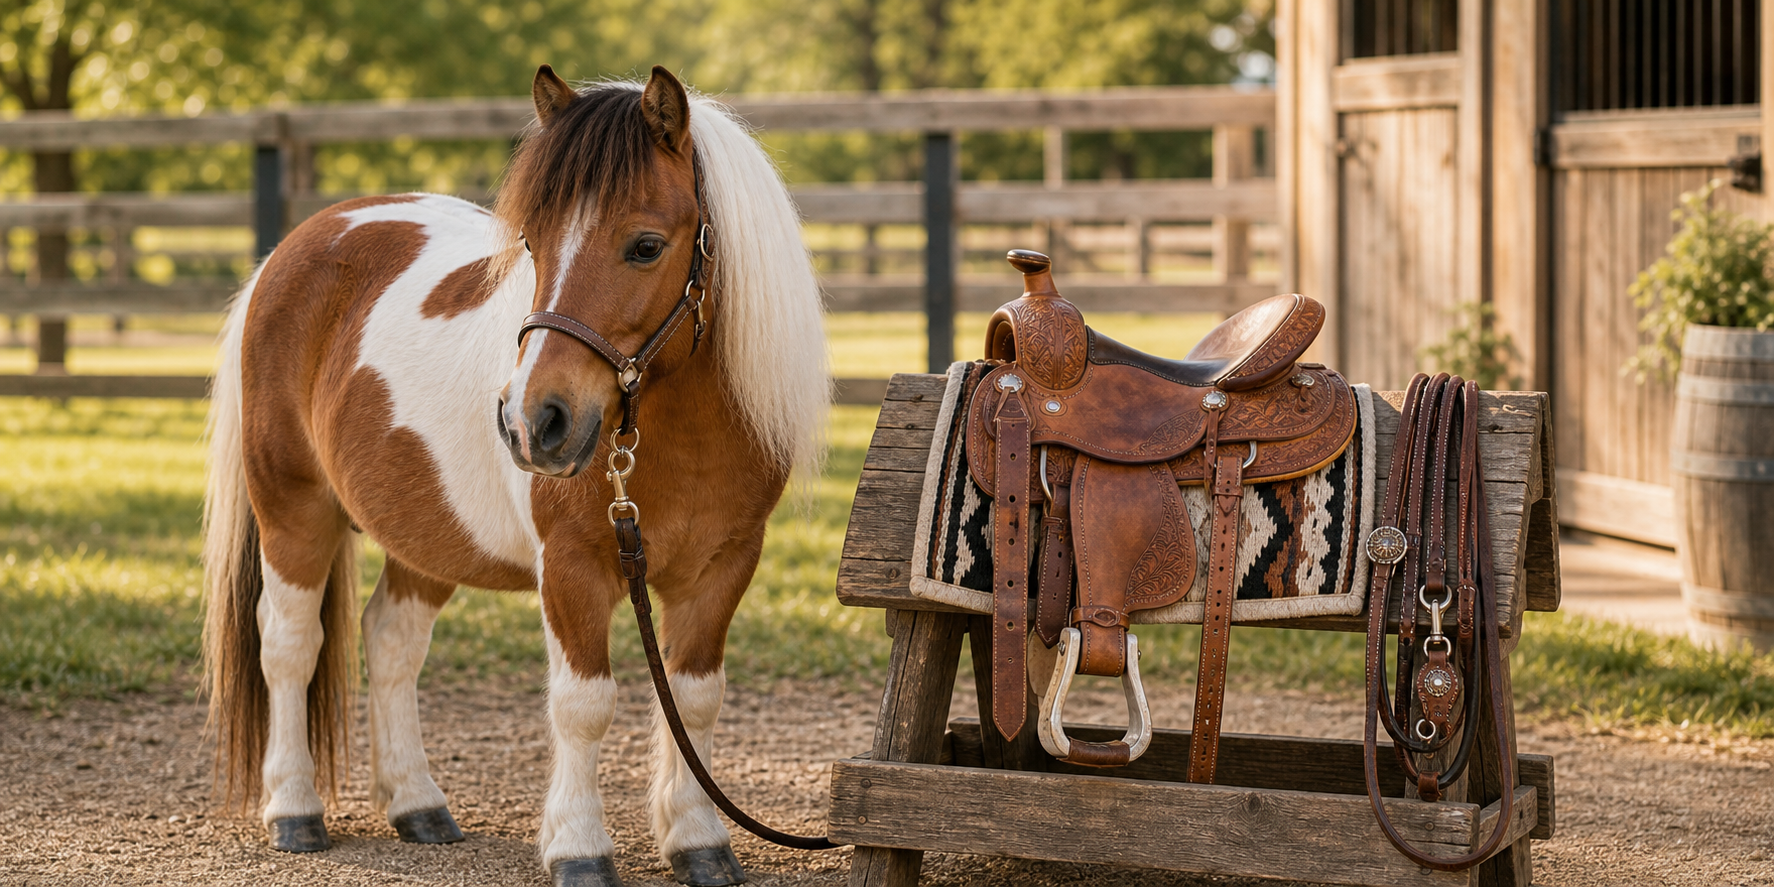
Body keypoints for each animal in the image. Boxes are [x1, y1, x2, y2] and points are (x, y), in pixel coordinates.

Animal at [201, 65, 829, 887]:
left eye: (646, 246)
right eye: (534, 240)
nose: (534, 422)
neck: (681, 434)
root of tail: (292, 250)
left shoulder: (724, 568)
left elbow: (694, 701)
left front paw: (698, 842)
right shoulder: (571, 568)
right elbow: (584, 704)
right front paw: (579, 848)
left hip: (426, 531)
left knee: (392, 638)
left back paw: (416, 804)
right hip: (292, 507)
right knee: (288, 642)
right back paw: (295, 810)